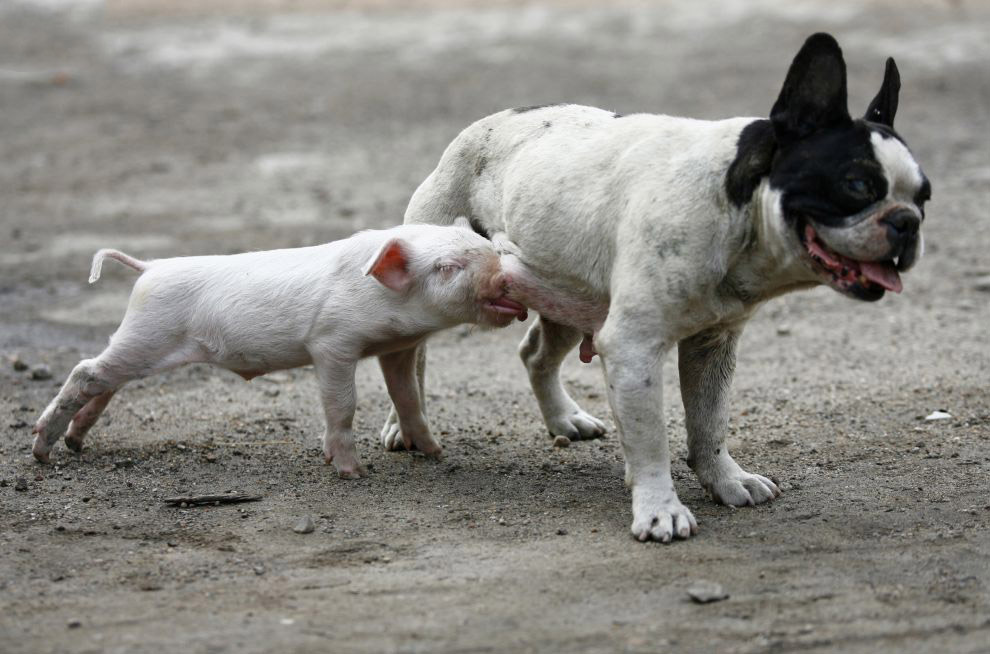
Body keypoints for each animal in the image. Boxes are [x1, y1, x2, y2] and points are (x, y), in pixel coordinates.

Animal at [31, 222, 528, 476]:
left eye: (486, 245)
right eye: (446, 267)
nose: (506, 276)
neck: (391, 307)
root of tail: (149, 266)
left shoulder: (397, 348)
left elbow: (408, 398)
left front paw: (436, 453)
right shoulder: (331, 342)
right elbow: (343, 404)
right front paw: (352, 471)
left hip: (142, 343)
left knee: (106, 381)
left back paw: (74, 444)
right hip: (148, 333)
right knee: (85, 370)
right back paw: (41, 452)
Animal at [380, 32, 928, 544]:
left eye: (925, 195)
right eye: (857, 186)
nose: (908, 221)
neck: (737, 206)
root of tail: (487, 123)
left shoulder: (712, 345)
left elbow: (709, 423)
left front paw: (726, 480)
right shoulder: (634, 347)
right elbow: (652, 440)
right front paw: (661, 511)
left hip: (566, 292)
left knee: (536, 353)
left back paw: (564, 419)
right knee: (412, 358)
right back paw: (403, 424)